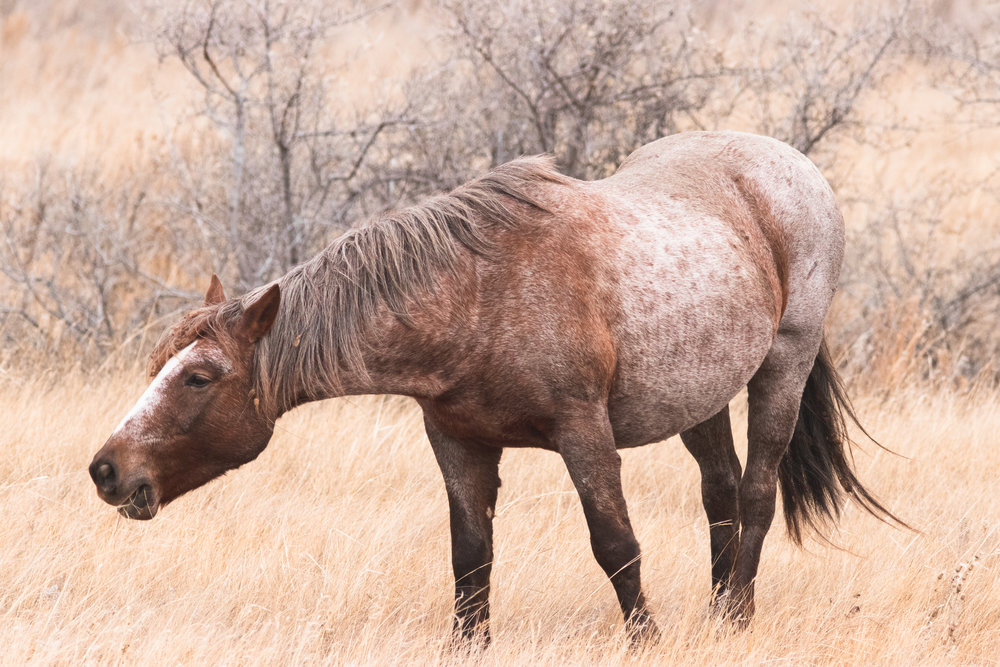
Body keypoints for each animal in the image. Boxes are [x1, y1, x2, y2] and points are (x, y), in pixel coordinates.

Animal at [90, 129, 904, 640]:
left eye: (199, 377)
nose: (106, 469)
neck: (475, 295)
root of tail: (787, 161)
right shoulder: (458, 442)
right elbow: (470, 558)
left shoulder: (584, 433)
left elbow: (616, 544)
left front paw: (646, 638)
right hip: (697, 395)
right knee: (723, 493)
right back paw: (716, 611)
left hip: (781, 366)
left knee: (759, 492)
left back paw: (735, 617)